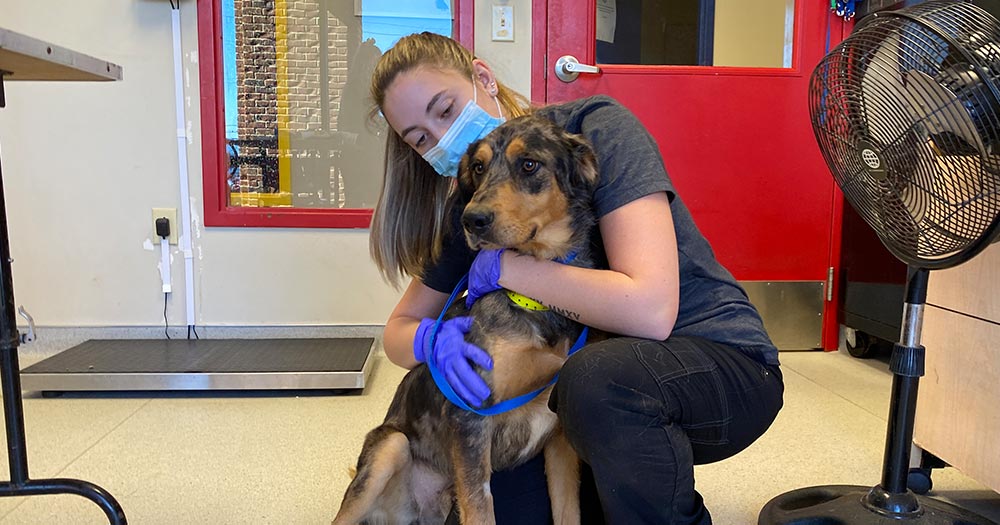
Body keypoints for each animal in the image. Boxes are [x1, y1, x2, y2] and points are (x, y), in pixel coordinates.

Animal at [336, 114, 596, 524]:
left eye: (529, 164)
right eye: (478, 167)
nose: (470, 220)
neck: (535, 299)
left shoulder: (559, 439)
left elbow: (568, 512)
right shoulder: (470, 417)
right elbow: (480, 507)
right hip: (390, 447)